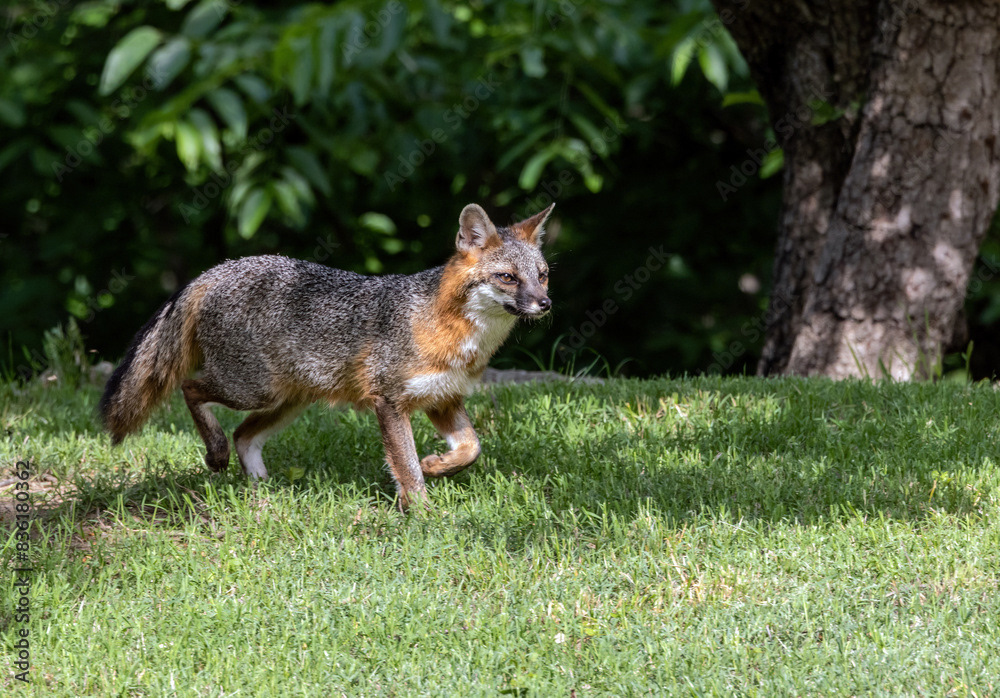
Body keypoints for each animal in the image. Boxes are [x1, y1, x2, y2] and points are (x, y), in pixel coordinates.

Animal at [98, 203, 553, 509]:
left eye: (543, 274)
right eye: (507, 277)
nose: (545, 304)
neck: (452, 329)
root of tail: (219, 268)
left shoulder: (442, 398)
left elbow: (471, 448)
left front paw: (437, 465)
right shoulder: (389, 401)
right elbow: (405, 466)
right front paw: (423, 513)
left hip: (287, 401)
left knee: (245, 435)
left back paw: (262, 489)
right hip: (254, 390)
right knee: (192, 390)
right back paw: (216, 452)